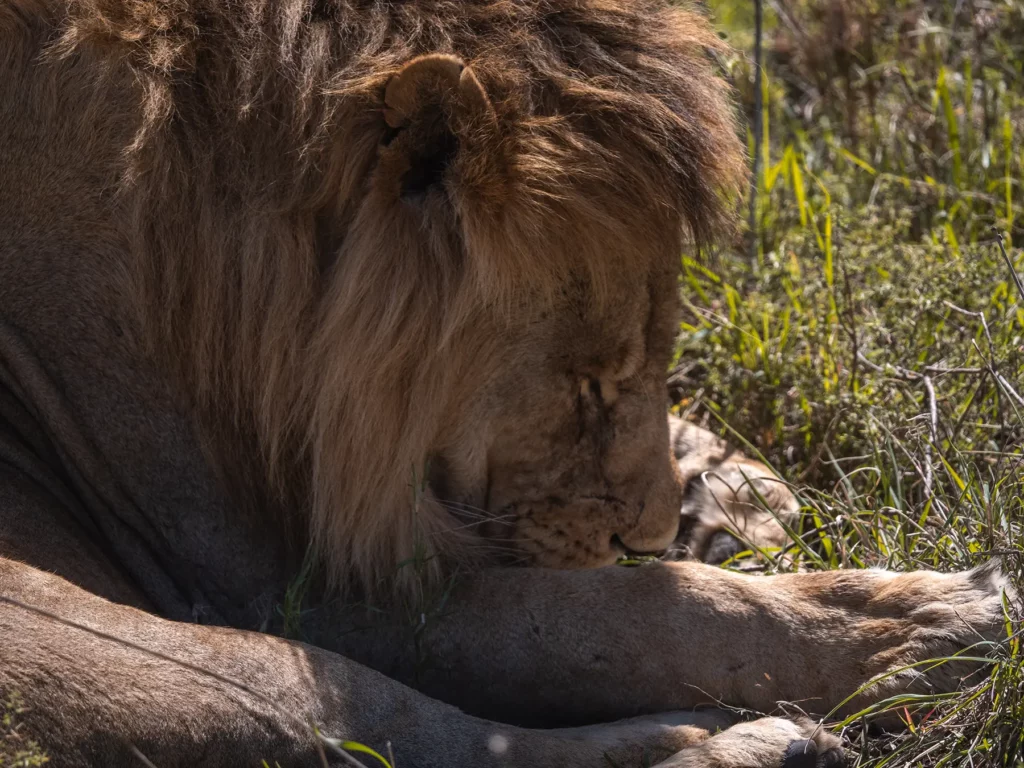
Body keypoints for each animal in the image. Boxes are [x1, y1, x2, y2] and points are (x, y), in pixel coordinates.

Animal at [0, 0, 1010, 766]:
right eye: (587, 383)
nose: (644, 535)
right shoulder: (282, 580)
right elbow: (630, 615)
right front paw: (920, 622)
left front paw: (732, 489)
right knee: (393, 731)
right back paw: (758, 743)